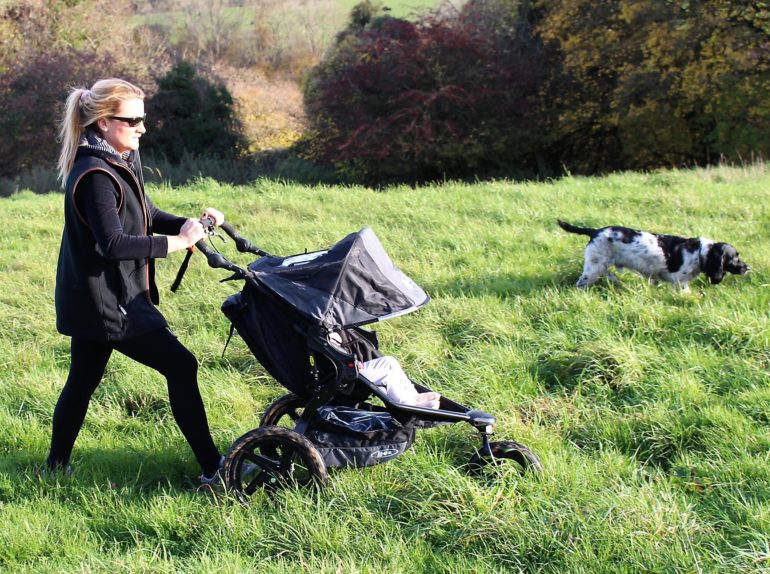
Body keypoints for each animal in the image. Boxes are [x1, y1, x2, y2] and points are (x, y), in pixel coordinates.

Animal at [556, 220, 748, 292]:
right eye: (735, 257)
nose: (748, 268)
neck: (700, 253)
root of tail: (594, 231)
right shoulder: (681, 282)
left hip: (600, 264)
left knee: (607, 273)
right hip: (593, 268)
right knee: (581, 283)